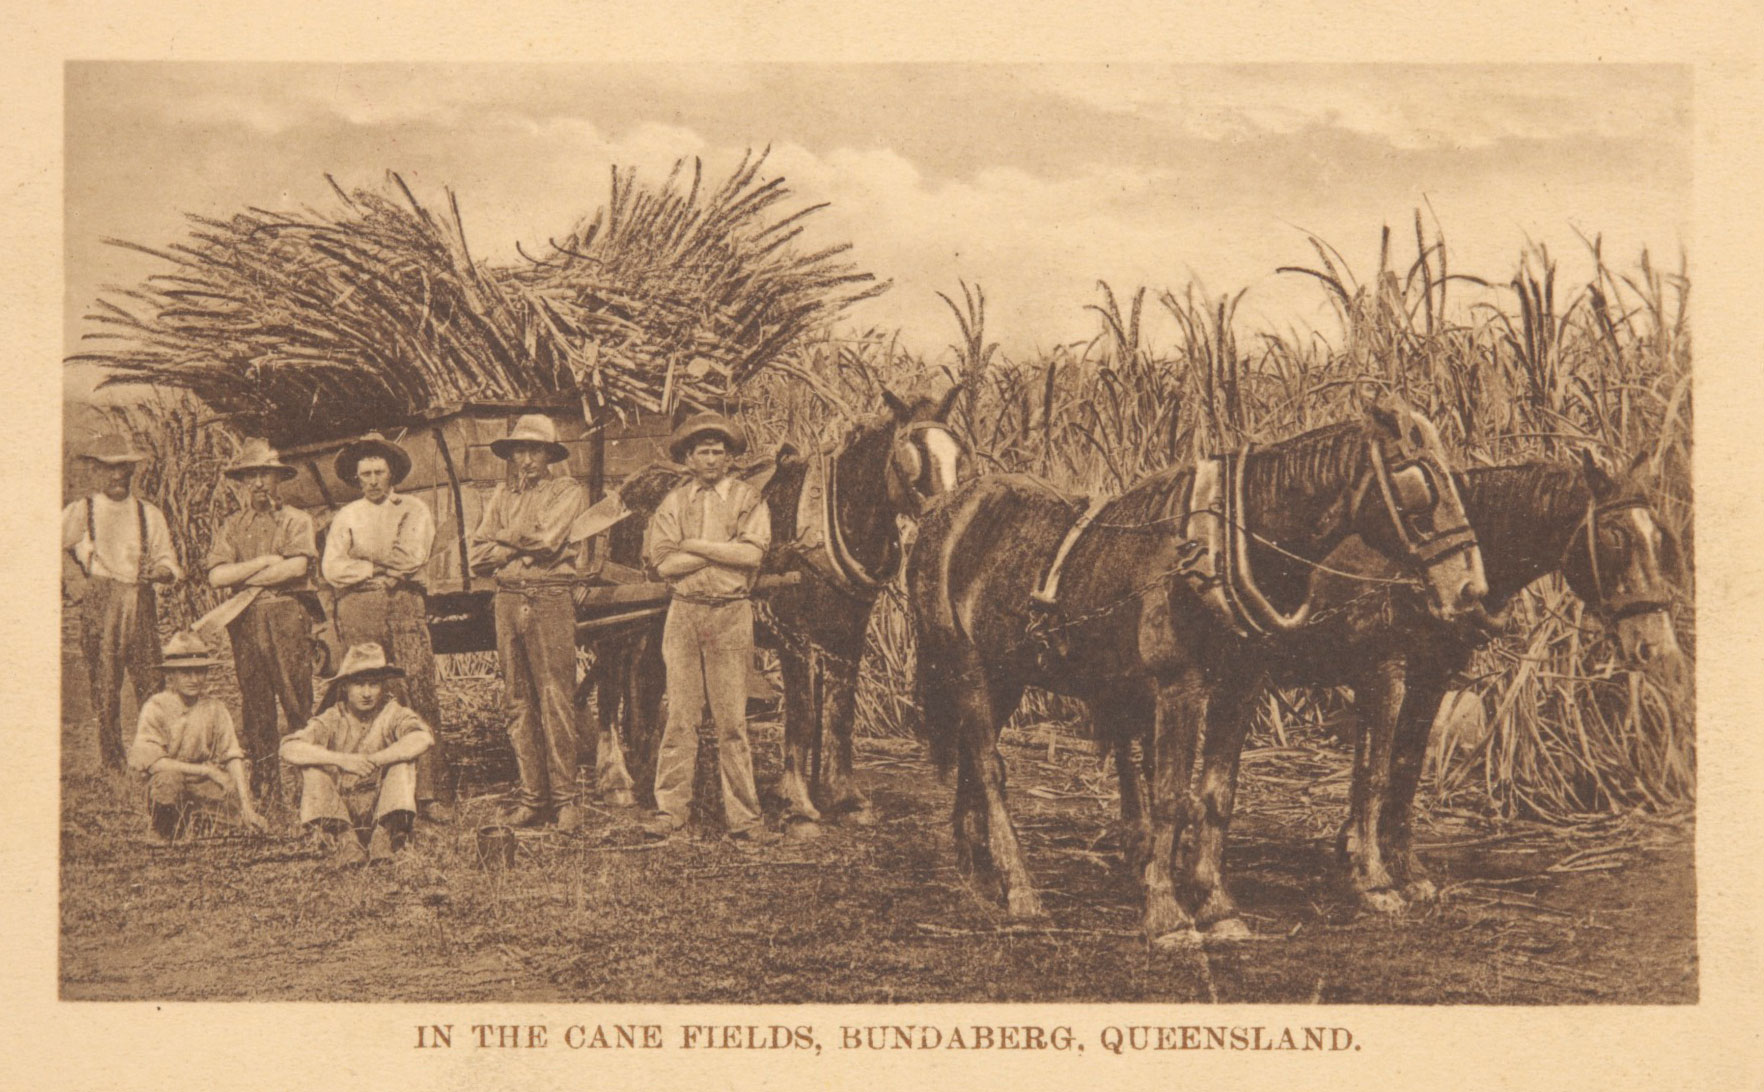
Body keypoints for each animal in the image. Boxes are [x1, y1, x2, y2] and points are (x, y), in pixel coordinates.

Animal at [582, 388, 966, 832]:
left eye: (957, 455)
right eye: (910, 458)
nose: (948, 519)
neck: (827, 519)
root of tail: (633, 485)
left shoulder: (847, 634)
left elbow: (840, 713)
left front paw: (843, 798)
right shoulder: (794, 636)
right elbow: (801, 715)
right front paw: (799, 805)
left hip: (654, 619)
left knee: (645, 681)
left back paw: (647, 769)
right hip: (619, 615)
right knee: (611, 682)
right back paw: (616, 779)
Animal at [903, 396, 1481, 945]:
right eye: (1420, 480)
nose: (1469, 590)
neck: (1217, 551)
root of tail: (946, 508)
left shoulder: (1241, 687)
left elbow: (1216, 795)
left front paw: (1216, 905)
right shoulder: (1178, 687)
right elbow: (1169, 797)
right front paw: (1166, 914)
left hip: (1007, 674)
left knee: (974, 762)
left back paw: (980, 874)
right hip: (966, 668)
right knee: (990, 770)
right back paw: (1020, 889)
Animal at [1270, 451, 1679, 917]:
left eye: (1659, 539)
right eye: (1614, 538)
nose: (1657, 646)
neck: (1423, 567)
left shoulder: (1430, 681)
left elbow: (1405, 772)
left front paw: (1405, 872)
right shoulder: (1383, 676)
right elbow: (1374, 777)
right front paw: (1370, 879)